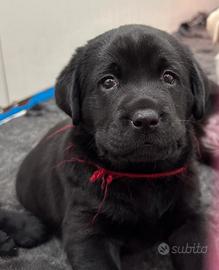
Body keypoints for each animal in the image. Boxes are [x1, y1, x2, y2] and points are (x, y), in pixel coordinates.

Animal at [5, 24, 212, 268]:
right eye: (108, 82)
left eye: (169, 77)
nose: (145, 119)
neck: (142, 176)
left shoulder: (190, 216)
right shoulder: (87, 231)